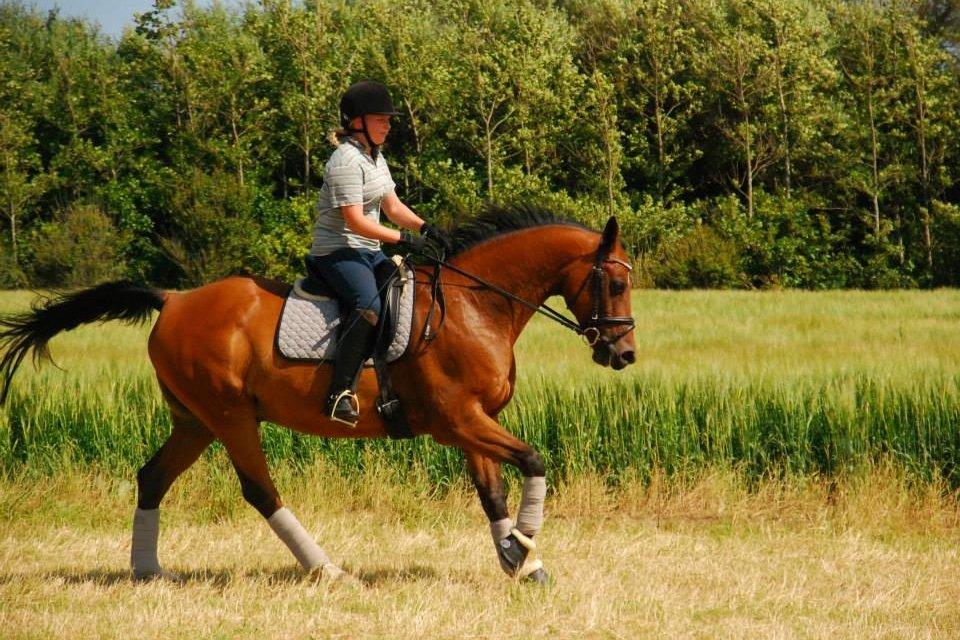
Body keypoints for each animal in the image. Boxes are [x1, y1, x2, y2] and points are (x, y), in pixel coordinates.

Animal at [0, 207, 636, 585]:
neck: (475, 307)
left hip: (195, 420)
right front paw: (526, 546)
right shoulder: (457, 419)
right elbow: (532, 460)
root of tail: (173, 299)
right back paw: (328, 570)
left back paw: (148, 571)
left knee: (152, 477)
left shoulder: (471, 422)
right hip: (230, 417)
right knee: (259, 490)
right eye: (616, 282)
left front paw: (518, 558)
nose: (624, 354)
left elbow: (493, 493)